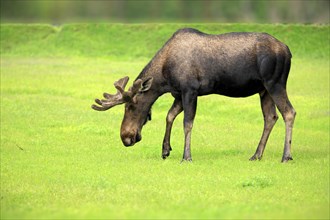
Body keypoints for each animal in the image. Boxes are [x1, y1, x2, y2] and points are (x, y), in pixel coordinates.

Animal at [91, 27, 296, 162]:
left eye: (131, 106)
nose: (126, 138)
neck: (164, 77)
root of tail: (288, 50)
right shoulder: (178, 94)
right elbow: (169, 116)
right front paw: (165, 150)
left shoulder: (190, 90)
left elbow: (187, 123)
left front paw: (186, 156)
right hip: (264, 90)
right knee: (270, 117)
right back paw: (256, 154)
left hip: (275, 83)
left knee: (289, 112)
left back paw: (286, 156)